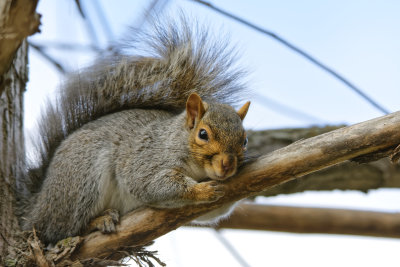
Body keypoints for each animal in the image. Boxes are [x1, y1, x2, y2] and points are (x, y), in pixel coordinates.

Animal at [18, 17, 252, 245]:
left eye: (245, 141)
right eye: (203, 134)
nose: (227, 165)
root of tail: (38, 205)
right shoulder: (148, 157)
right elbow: (151, 183)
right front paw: (200, 190)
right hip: (82, 179)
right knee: (62, 230)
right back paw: (98, 221)